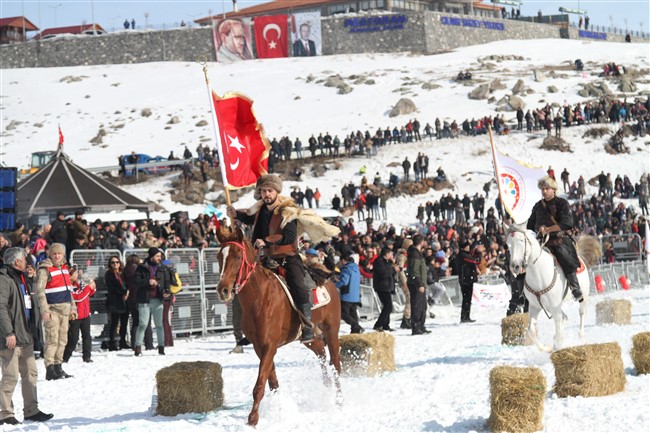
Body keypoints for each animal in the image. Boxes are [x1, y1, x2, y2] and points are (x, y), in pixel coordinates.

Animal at [215, 226, 342, 426]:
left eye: (237, 256)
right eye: (219, 256)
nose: (223, 290)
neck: (259, 296)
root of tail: (327, 280)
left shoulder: (269, 346)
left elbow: (259, 385)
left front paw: (252, 420)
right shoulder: (260, 347)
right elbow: (272, 383)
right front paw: (280, 410)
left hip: (331, 330)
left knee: (335, 364)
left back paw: (339, 401)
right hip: (310, 338)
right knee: (321, 352)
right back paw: (326, 386)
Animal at [504, 223, 600, 352]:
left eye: (521, 240)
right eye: (508, 244)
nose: (515, 266)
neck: (538, 274)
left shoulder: (555, 306)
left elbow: (558, 330)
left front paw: (558, 346)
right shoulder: (535, 306)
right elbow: (531, 332)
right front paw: (546, 348)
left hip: (583, 296)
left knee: (581, 313)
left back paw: (581, 336)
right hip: (548, 306)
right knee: (565, 318)